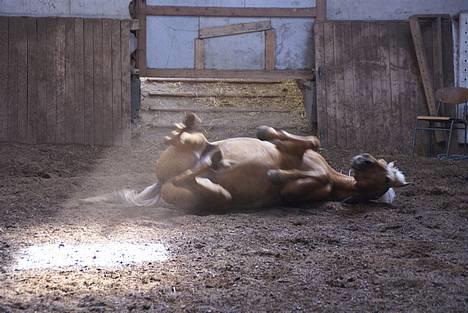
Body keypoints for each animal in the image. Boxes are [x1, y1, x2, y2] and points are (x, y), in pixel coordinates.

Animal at [83, 113, 406, 211]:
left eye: (383, 178)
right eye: (379, 162)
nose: (362, 159)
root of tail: (162, 183)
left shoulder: (301, 192)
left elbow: (290, 181)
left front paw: (276, 175)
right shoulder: (300, 150)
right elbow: (308, 140)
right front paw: (266, 133)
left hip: (212, 196)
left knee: (196, 178)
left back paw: (212, 162)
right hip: (193, 147)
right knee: (185, 141)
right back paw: (186, 129)